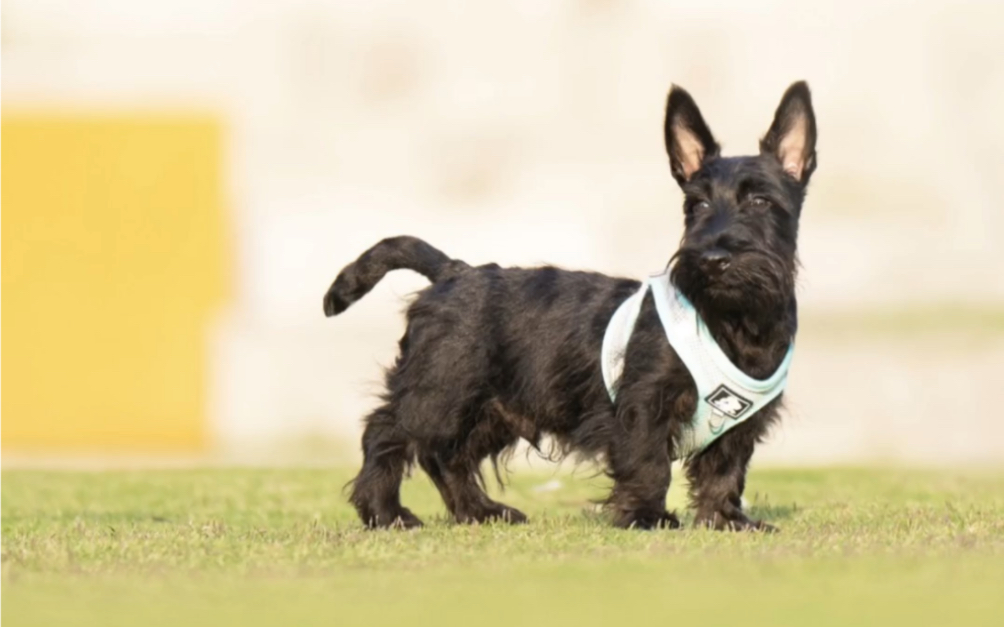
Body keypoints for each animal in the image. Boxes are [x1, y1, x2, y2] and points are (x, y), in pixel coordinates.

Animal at [323, 80, 815, 529]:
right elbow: (648, 463)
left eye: (760, 201)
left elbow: (724, 471)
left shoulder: (742, 425)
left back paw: (482, 511)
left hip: (491, 409)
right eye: (696, 206)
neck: (734, 320)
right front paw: (646, 516)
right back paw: (387, 513)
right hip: (438, 389)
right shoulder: (644, 404)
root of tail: (452, 271)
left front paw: (725, 519)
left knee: (447, 457)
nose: (713, 259)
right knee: (387, 434)